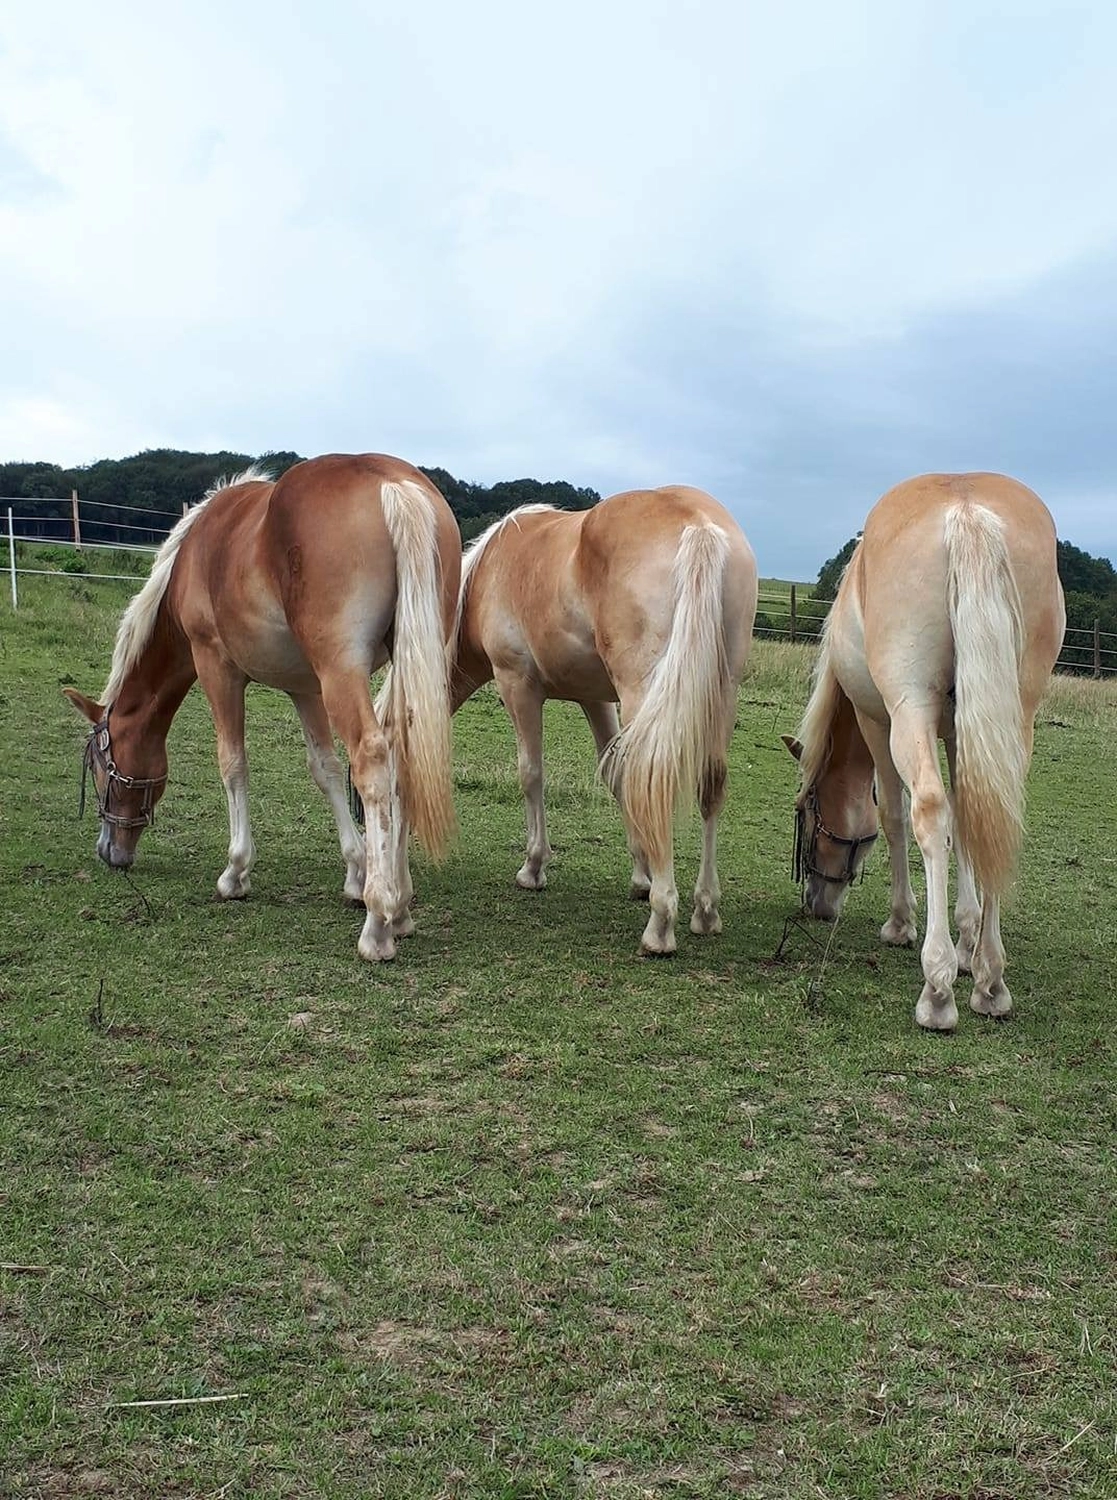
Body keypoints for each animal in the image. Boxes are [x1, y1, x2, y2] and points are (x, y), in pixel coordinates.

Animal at [64, 453, 461, 962]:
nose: (109, 851)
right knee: (402, 757)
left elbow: (233, 763)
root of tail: (392, 483)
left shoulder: (217, 667)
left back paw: (379, 921)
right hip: (410, 660)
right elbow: (326, 769)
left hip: (342, 672)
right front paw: (356, 871)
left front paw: (236, 872)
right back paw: (402, 905)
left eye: (99, 769)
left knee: (373, 759)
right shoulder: (305, 689)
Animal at [451, 486, 758, 955]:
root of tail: (699, 525)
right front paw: (641, 875)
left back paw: (661, 923)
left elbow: (531, 774)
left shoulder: (517, 685)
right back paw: (704, 911)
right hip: (720, 698)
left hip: (644, 696)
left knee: (653, 778)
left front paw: (533, 867)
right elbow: (615, 776)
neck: (491, 570)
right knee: (709, 786)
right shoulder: (593, 698)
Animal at [783, 472, 1065, 1030]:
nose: (816, 904)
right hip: (1013, 714)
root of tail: (967, 511)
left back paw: (937, 988)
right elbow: (970, 823)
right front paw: (967, 941)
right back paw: (990, 980)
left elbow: (894, 818)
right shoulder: (961, 732)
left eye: (808, 815)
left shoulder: (877, 722)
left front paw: (904, 925)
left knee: (928, 811)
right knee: (993, 813)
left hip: (907, 712)